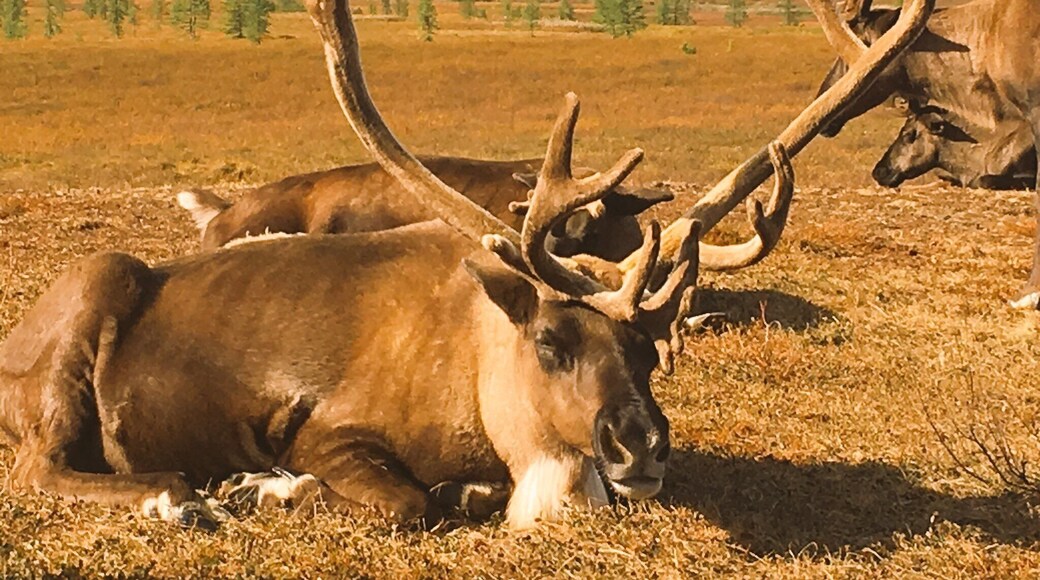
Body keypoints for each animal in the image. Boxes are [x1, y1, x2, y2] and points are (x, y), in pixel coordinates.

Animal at [0, 0, 934, 530]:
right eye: (553, 340)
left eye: (651, 351)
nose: (641, 446)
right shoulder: (325, 425)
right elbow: (410, 501)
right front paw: (266, 487)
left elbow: (462, 495)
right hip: (92, 294)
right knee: (42, 464)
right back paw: (173, 494)